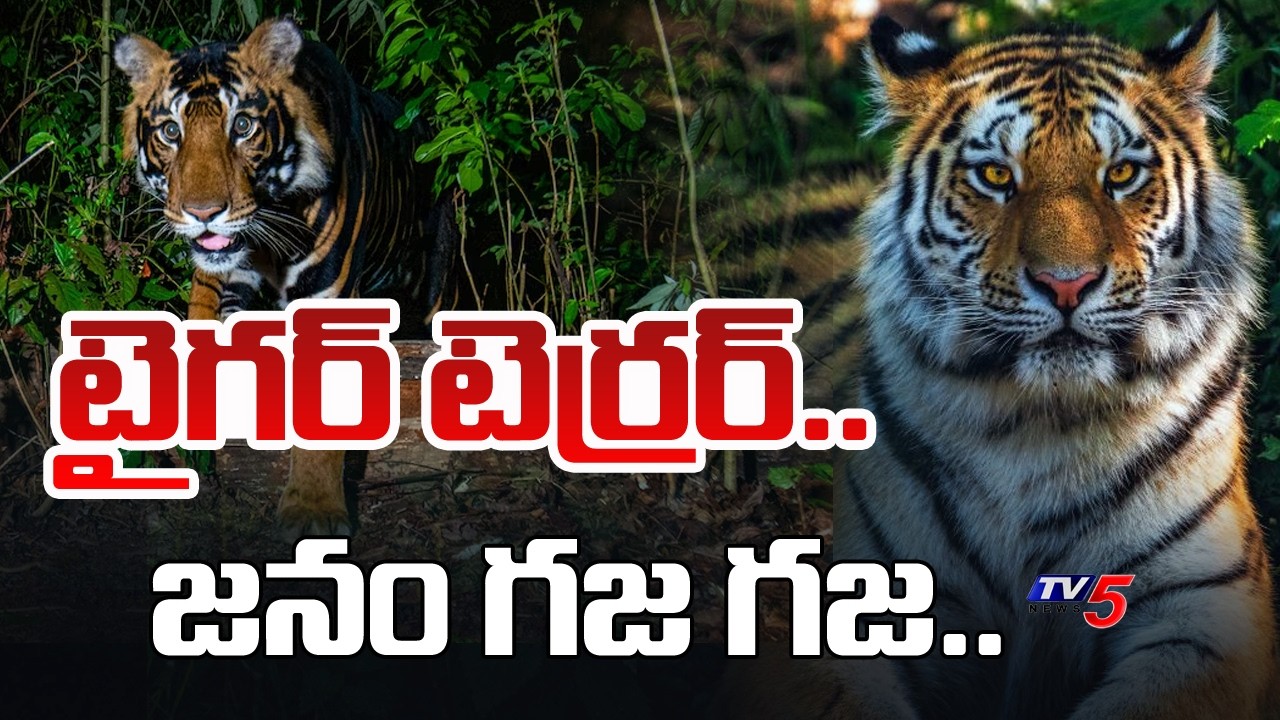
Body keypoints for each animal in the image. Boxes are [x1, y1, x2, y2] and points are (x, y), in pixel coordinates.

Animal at [112, 17, 457, 538]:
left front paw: (313, 509)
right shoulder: (218, 279)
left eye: (242, 126)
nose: (203, 213)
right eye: (171, 131)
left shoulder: (327, 291)